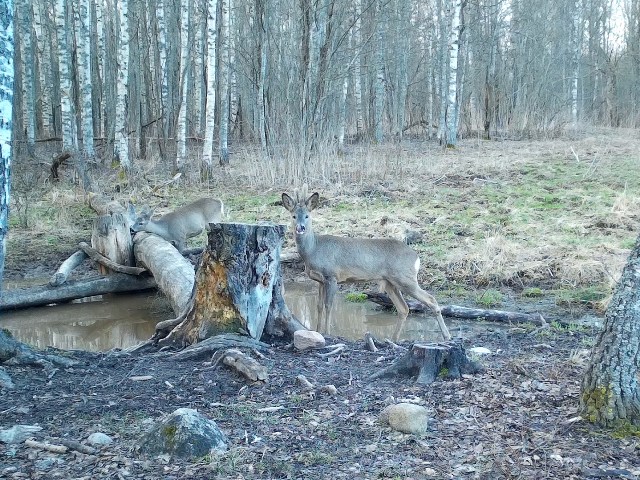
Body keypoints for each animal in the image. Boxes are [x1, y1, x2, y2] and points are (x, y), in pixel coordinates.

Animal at [282, 186, 451, 342]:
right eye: (293, 216)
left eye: (307, 216)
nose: (300, 228)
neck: (314, 249)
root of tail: (416, 256)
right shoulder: (320, 281)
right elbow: (318, 306)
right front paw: (317, 331)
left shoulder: (332, 276)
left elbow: (328, 306)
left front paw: (328, 333)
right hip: (390, 282)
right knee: (404, 308)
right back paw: (394, 339)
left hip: (405, 277)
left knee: (430, 300)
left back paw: (447, 336)